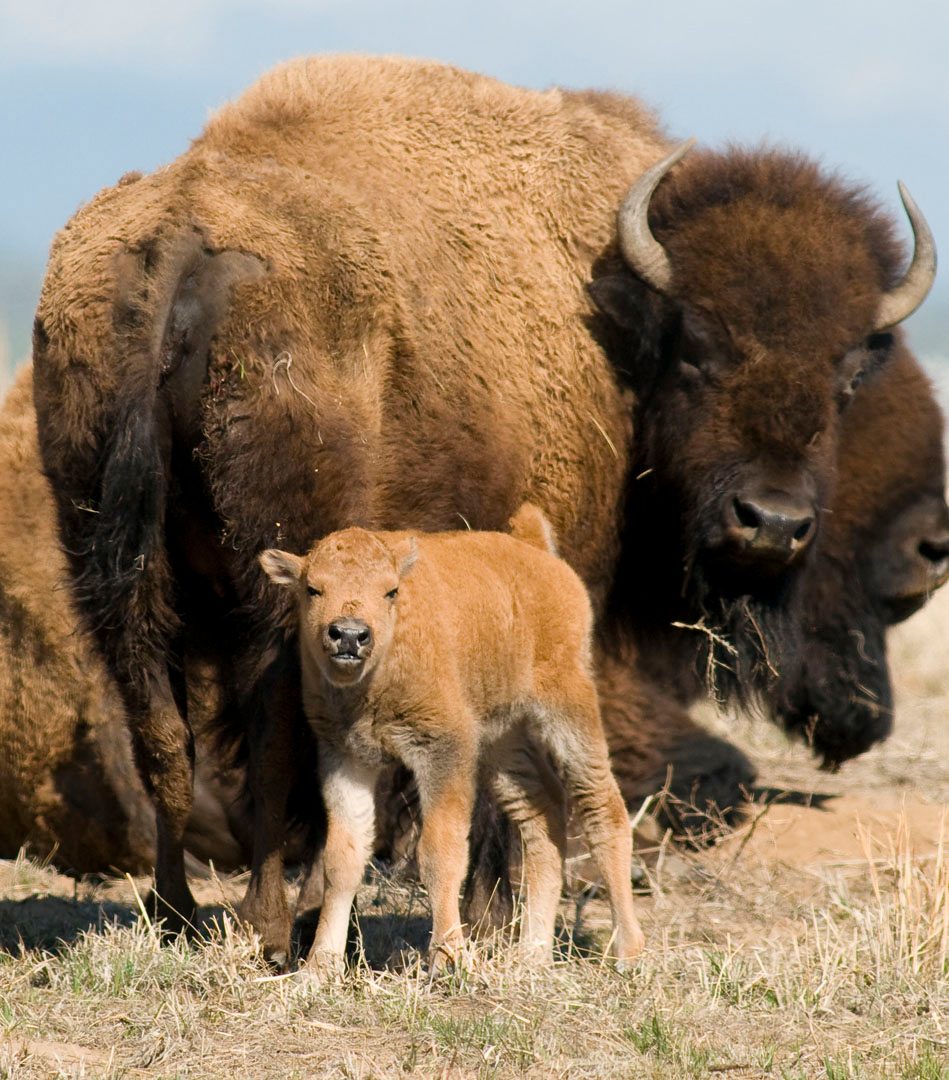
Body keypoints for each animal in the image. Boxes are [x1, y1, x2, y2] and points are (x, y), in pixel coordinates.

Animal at [261, 501, 647, 976]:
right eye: (313, 589)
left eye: (391, 592)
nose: (350, 634)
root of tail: (536, 552)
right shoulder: (347, 758)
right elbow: (343, 859)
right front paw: (319, 967)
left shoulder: (443, 753)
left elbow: (440, 853)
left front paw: (447, 957)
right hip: (502, 741)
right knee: (544, 812)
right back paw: (532, 955)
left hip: (569, 708)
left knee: (602, 806)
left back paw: (628, 952)